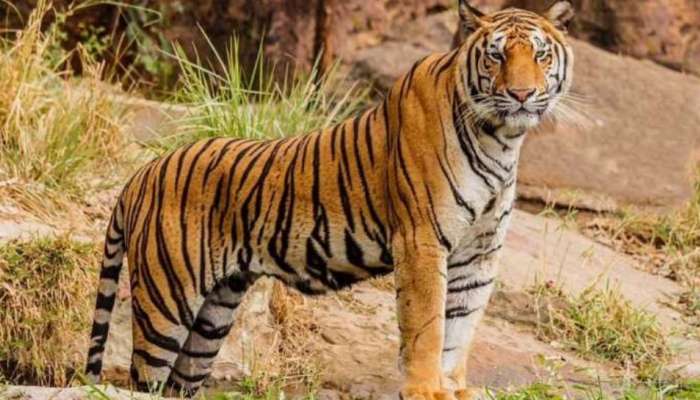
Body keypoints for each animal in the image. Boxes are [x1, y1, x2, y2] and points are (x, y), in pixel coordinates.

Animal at [85, 1, 575, 398]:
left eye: (540, 54)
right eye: (497, 55)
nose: (521, 94)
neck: (501, 139)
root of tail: (141, 174)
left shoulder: (479, 254)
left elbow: (460, 328)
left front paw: (452, 388)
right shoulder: (421, 241)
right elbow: (428, 326)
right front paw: (425, 390)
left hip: (213, 315)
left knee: (178, 383)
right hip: (166, 302)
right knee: (143, 378)